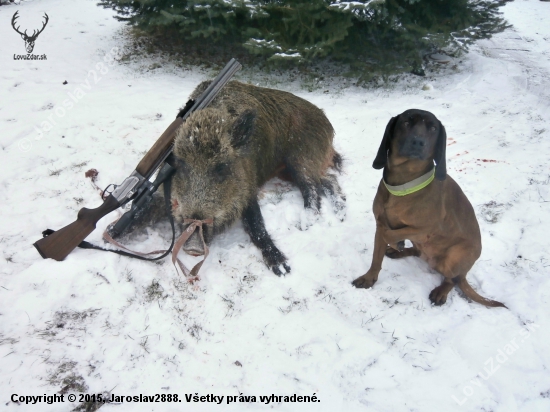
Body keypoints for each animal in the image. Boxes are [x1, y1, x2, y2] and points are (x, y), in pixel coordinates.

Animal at [356, 108, 506, 308]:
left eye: (433, 128)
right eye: (406, 122)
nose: (418, 142)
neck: (404, 185)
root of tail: (464, 273)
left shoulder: (424, 230)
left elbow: (391, 234)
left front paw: (397, 242)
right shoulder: (380, 224)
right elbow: (376, 257)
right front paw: (369, 278)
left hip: (453, 257)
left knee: (452, 280)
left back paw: (440, 291)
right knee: (419, 252)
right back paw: (400, 252)